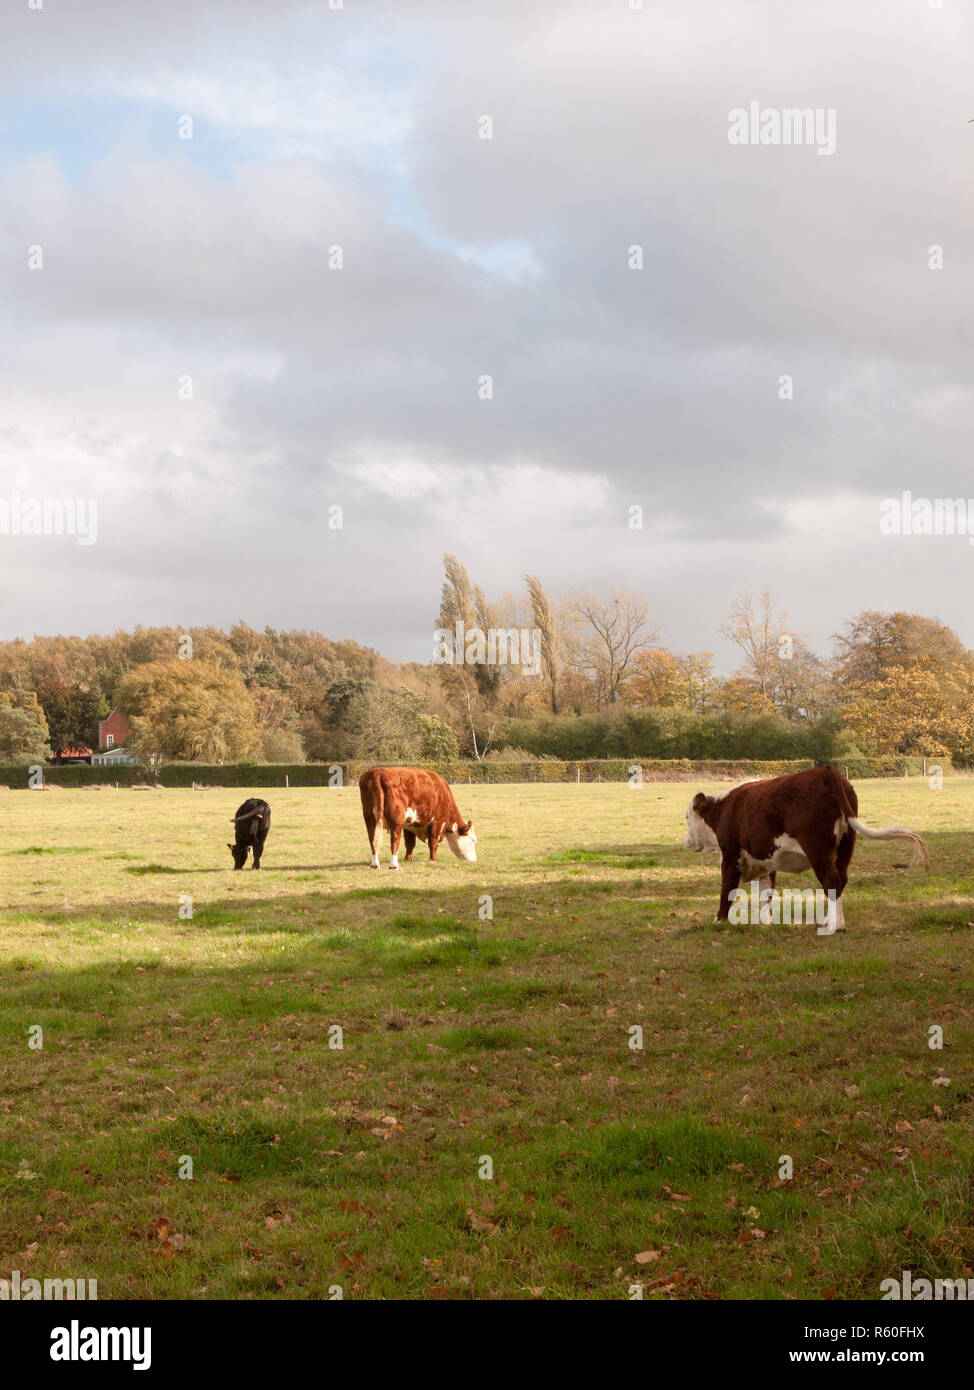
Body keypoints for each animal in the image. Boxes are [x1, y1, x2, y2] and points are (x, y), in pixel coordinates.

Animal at [683, 765, 929, 935]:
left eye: (686, 817)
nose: (686, 841)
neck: (724, 810)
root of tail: (827, 771)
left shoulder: (730, 855)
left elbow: (727, 889)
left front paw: (719, 921)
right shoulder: (766, 861)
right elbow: (765, 893)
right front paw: (766, 922)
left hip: (818, 849)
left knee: (831, 880)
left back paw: (835, 927)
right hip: (845, 846)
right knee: (840, 880)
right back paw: (830, 921)